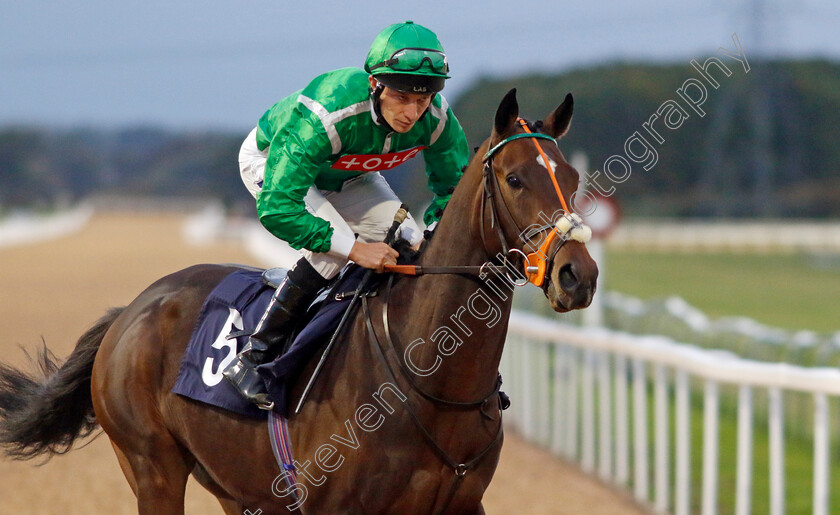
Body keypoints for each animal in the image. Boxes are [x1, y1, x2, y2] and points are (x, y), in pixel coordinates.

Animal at [3, 90, 600, 512]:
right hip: (152, 468)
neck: (428, 377)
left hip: (235, 483)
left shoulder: (462, 504)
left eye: (572, 177)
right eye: (515, 179)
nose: (579, 275)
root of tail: (129, 312)